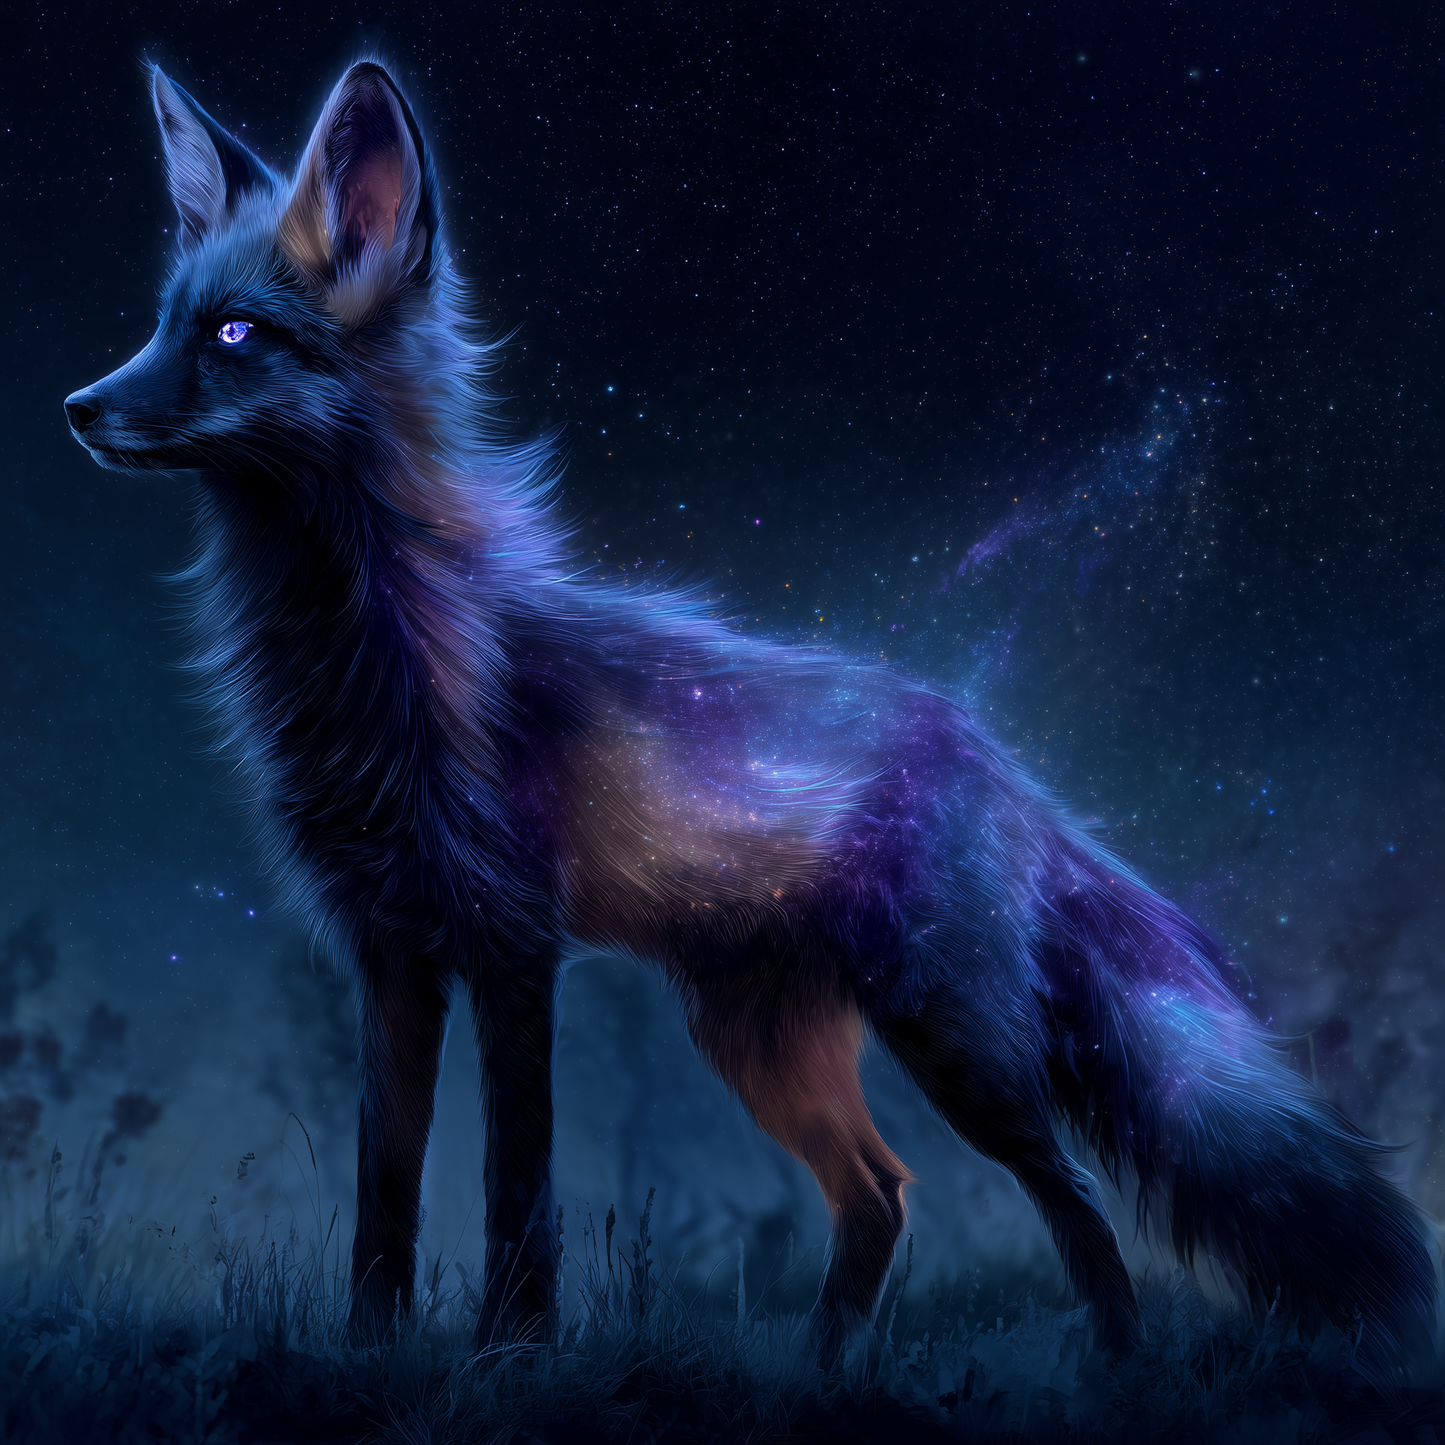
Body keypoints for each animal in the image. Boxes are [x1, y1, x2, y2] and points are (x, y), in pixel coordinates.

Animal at [65, 58, 1437, 1375]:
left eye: (235, 331)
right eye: (161, 322)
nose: (78, 406)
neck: (374, 664)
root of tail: (990, 753)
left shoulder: (510, 947)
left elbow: (517, 1190)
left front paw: (513, 1351)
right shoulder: (390, 954)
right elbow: (384, 1197)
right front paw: (368, 1352)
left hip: (955, 1046)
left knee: (1071, 1196)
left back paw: (1111, 1363)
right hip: (761, 1045)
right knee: (881, 1193)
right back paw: (820, 1373)